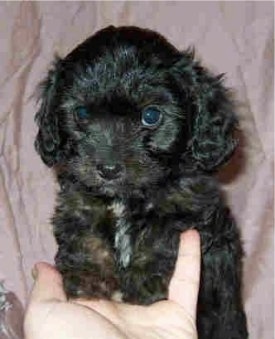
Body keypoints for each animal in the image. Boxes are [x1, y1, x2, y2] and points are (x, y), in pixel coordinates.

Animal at [34, 26, 248, 339]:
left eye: (151, 115)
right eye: (81, 114)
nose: (108, 169)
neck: (125, 197)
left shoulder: (190, 203)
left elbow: (162, 235)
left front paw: (144, 282)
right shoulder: (78, 201)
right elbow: (84, 234)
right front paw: (88, 277)